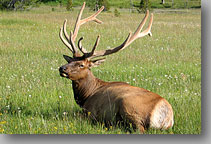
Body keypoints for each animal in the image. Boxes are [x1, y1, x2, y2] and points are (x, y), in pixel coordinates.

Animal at [58, 2, 174, 133]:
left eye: (81, 65)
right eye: (69, 60)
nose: (62, 68)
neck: (86, 95)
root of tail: (165, 114)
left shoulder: (90, 110)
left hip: (129, 106)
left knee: (139, 129)